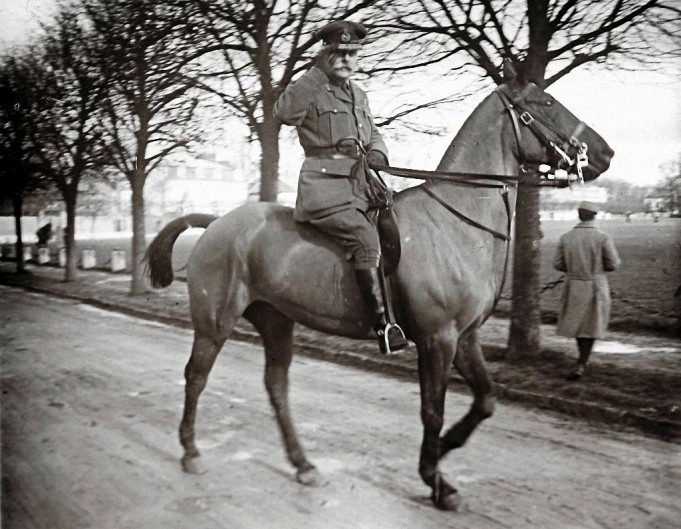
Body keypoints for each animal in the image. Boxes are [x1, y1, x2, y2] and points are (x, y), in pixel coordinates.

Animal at [142, 63, 612, 512]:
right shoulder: (437, 340)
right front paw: (436, 479)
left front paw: (443, 454)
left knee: (276, 388)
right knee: (196, 376)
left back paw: (303, 464)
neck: (455, 219)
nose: (604, 153)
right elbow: (432, 410)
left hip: (276, 322)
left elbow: (486, 400)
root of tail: (216, 222)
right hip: (215, 323)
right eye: (545, 102)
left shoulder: (464, 338)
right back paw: (191, 451)